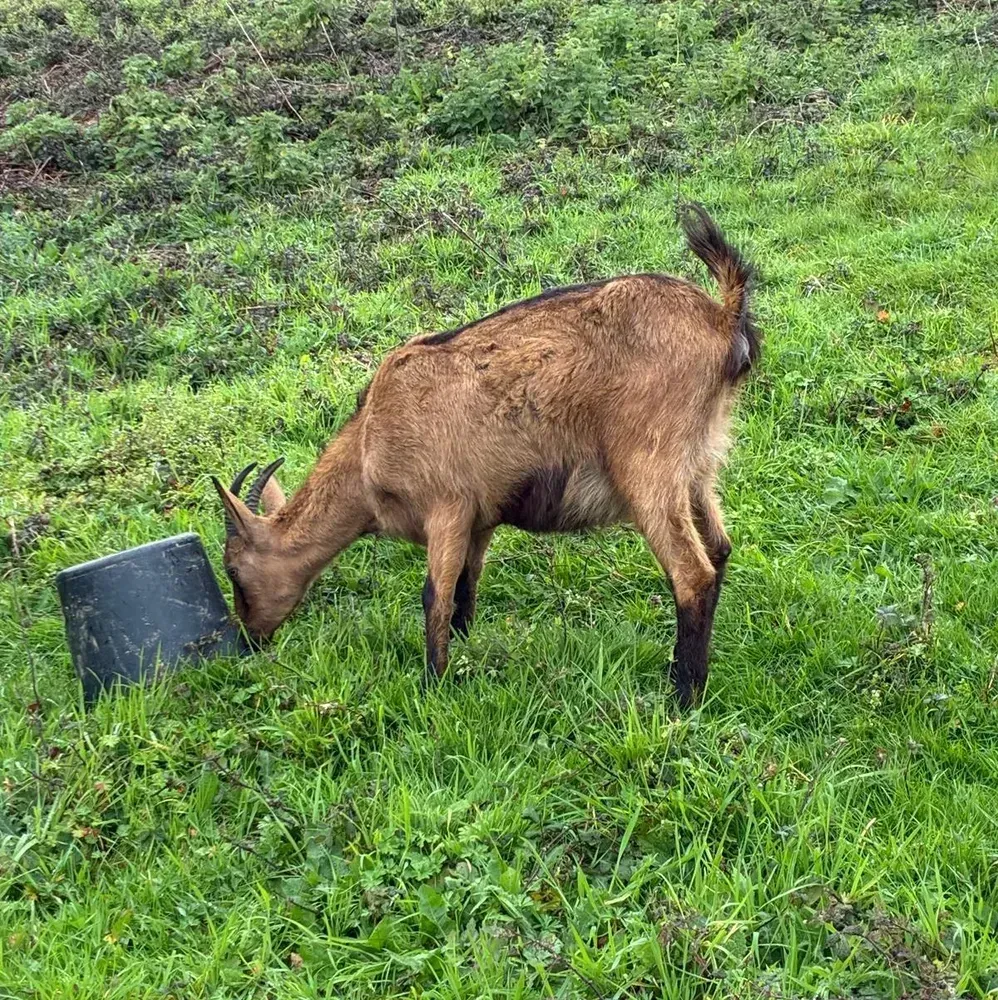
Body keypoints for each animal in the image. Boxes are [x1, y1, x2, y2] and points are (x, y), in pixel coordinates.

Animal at [211, 203, 760, 706]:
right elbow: (464, 590)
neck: (370, 443)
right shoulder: (480, 519)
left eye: (234, 571)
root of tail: (721, 318)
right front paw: (462, 653)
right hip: (698, 467)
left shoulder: (447, 507)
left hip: (648, 468)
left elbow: (434, 596)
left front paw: (432, 687)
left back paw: (682, 696)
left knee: (692, 574)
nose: (250, 640)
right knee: (719, 550)